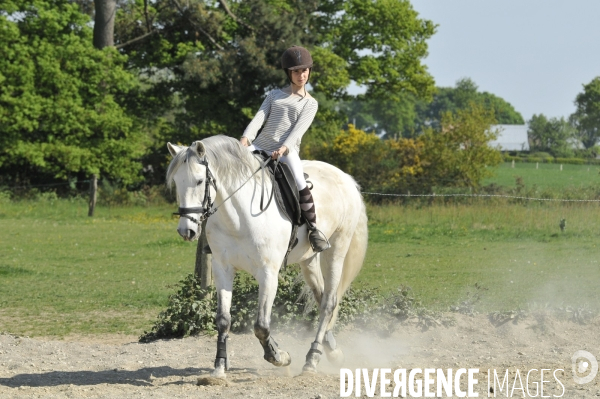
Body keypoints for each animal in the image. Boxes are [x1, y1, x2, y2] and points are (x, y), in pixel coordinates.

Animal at [166, 136, 368, 376]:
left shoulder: (268, 273)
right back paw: (332, 352)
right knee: (320, 299)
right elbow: (223, 320)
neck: (238, 219)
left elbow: (261, 326)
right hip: (308, 259)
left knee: (329, 302)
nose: (186, 231)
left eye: (198, 181)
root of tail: (345, 177)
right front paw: (219, 367)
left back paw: (312, 360)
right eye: (176, 182)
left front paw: (279, 356)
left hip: (336, 250)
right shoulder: (222, 268)